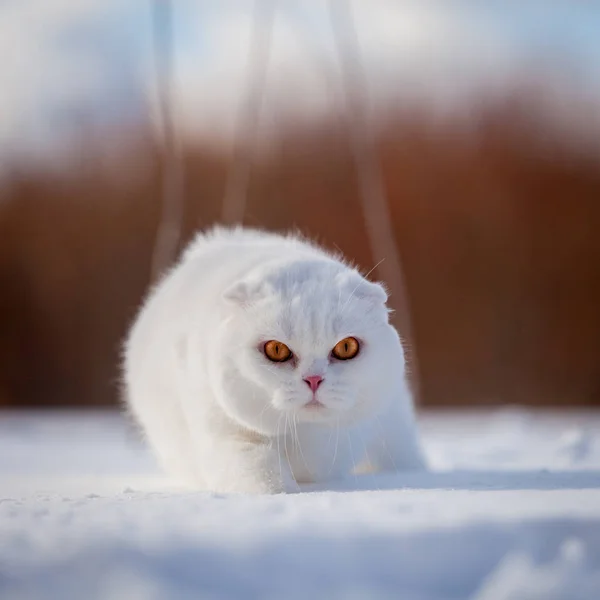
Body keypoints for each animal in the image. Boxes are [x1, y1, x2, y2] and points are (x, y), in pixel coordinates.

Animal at [122, 225, 424, 492]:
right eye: (276, 350)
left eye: (346, 347)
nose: (314, 380)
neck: (301, 436)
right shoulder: (221, 433)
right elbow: (260, 474)